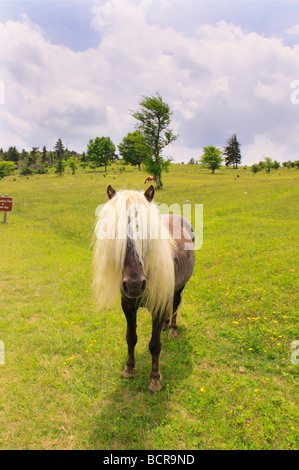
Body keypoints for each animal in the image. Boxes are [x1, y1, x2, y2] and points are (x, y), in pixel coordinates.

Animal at [94, 185, 197, 392]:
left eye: (147, 232)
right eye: (115, 233)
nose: (134, 284)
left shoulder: (157, 307)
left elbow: (155, 345)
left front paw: (155, 379)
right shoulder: (128, 306)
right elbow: (131, 337)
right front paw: (128, 369)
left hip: (179, 288)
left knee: (175, 304)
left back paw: (172, 329)